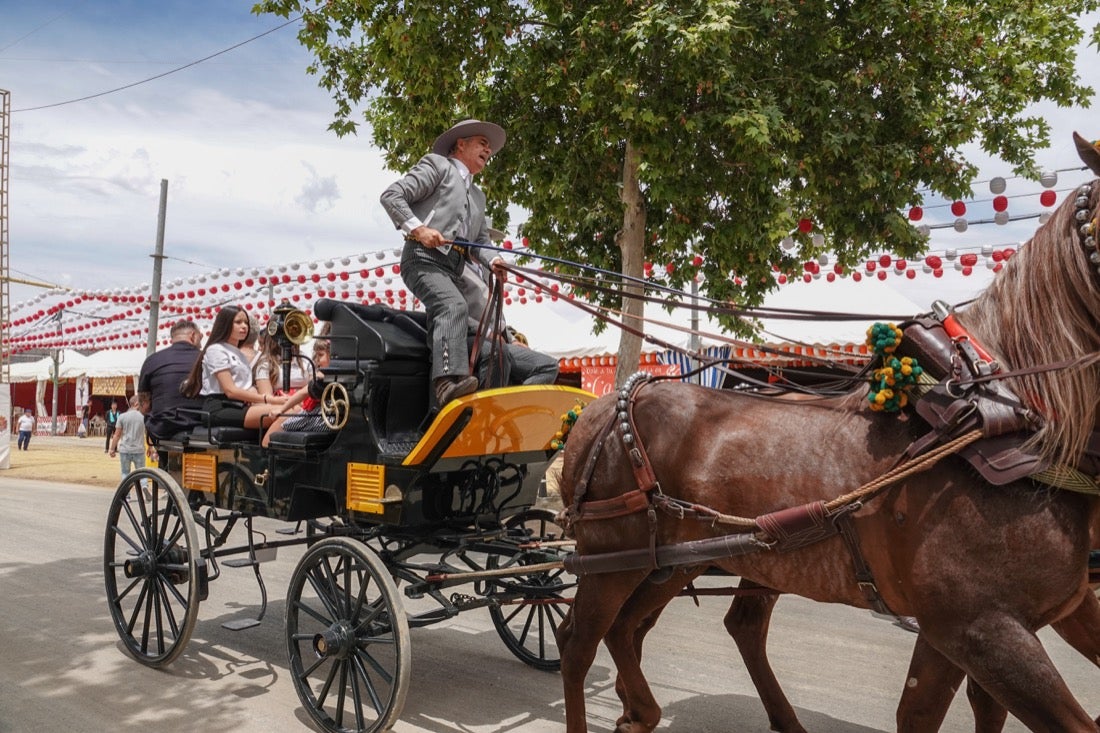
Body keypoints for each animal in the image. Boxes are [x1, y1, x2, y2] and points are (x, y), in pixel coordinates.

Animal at [558, 140, 1100, 726]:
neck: (998, 415)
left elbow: (944, 711)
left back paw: (645, 710)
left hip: (676, 560)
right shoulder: (978, 627)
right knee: (578, 642)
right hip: (611, 557)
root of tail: (605, 406)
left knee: (641, 627)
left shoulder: (1010, 618)